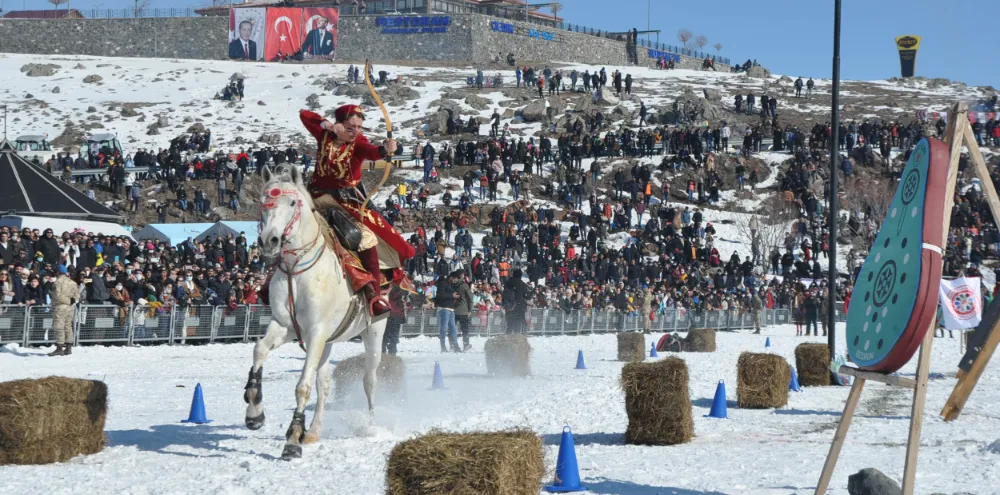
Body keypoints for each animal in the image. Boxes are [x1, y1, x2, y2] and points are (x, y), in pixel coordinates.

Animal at [244, 167, 384, 462]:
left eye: (292, 203)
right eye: (263, 202)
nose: (269, 241)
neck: (296, 268)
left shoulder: (316, 332)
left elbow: (302, 386)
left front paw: (292, 440)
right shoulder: (285, 326)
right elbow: (259, 350)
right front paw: (254, 412)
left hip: (374, 332)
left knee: (369, 380)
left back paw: (370, 426)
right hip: (328, 341)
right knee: (325, 384)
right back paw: (314, 431)